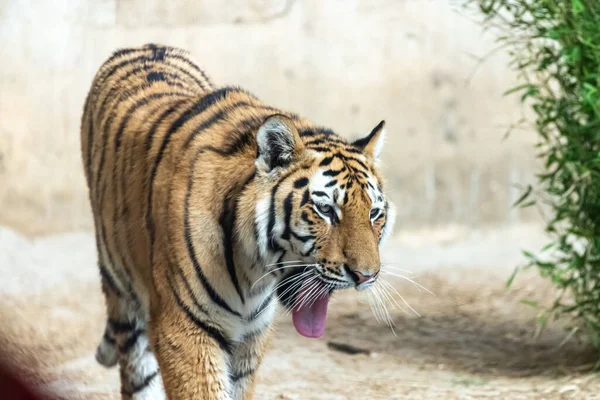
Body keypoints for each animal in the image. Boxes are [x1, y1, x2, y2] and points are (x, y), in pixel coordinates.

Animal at [82, 43, 396, 400]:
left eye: (374, 214)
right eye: (326, 210)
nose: (366, 276)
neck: (253, 272)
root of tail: (146, 46)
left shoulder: (251, 334)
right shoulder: (184, 328)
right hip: (124, 296)